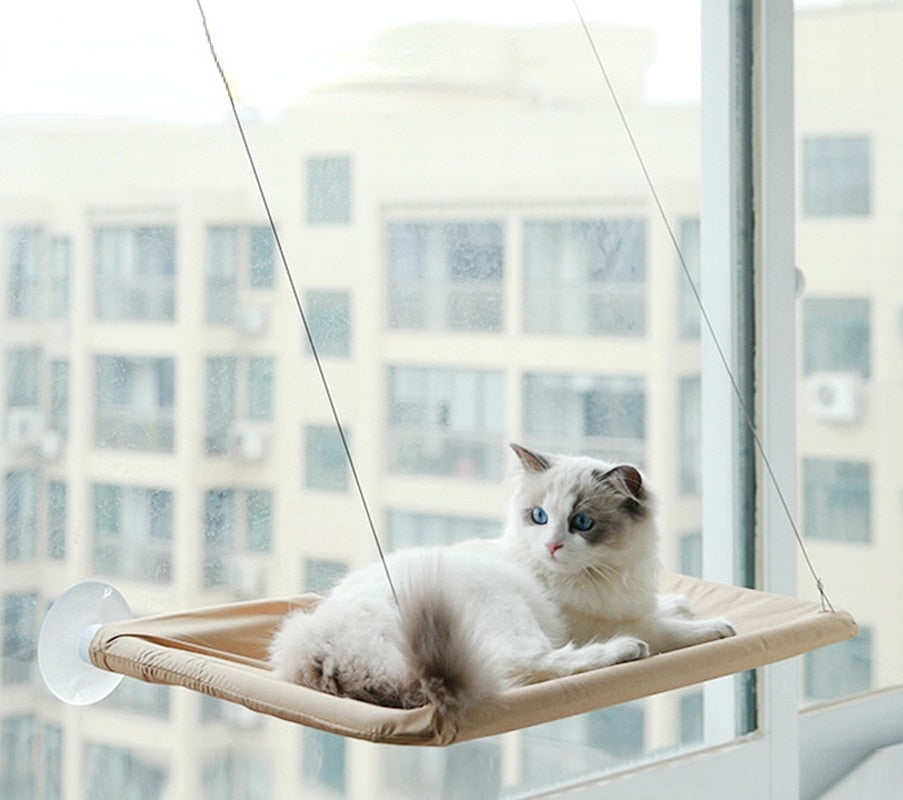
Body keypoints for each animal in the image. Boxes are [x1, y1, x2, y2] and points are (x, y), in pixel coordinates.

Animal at [268, 444, 736, 720]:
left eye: (582, 523)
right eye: (540, 517)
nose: (552, 546)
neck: (611, 573)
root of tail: (321, 645)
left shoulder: (633, 601)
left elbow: (665, 606)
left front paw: (682, 604)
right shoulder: (611, 621)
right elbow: (669, 629)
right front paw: (715, 627)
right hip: (503, 605)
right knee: (532, 664)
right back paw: (625, 652)